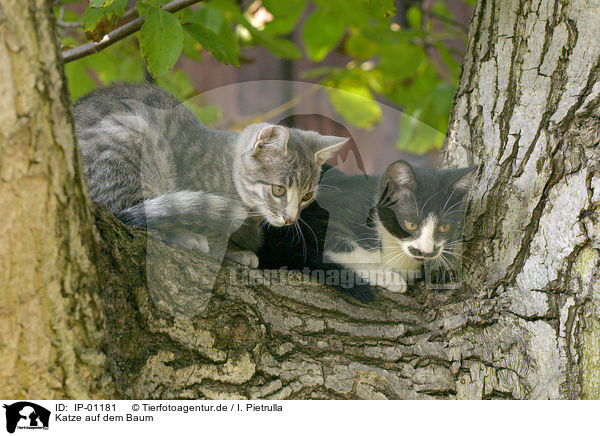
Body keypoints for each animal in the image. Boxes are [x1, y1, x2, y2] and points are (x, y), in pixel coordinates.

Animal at [74, 82, 346, 266]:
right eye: (278, 190)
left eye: (307, 196)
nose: (290, 219)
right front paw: (232, 250)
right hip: (131, 138)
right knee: (134, 214)